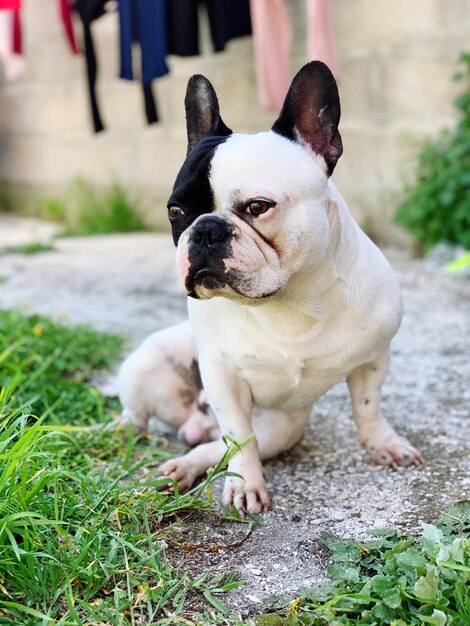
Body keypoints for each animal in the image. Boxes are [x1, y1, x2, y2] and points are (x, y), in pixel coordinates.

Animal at [118, 62, 422, 512]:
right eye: (175, 211)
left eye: (257, 207)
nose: (205, 230)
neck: (290, 300)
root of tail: (193, 423)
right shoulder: (223, 377)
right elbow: (239, 437)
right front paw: (247, 484)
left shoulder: (373, 358)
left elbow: (368, 407)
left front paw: (382, 443)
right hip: (143, 367)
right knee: (144, 418)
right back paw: (125, 436)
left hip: (281, 428)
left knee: (211, 449)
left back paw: (181, 469)